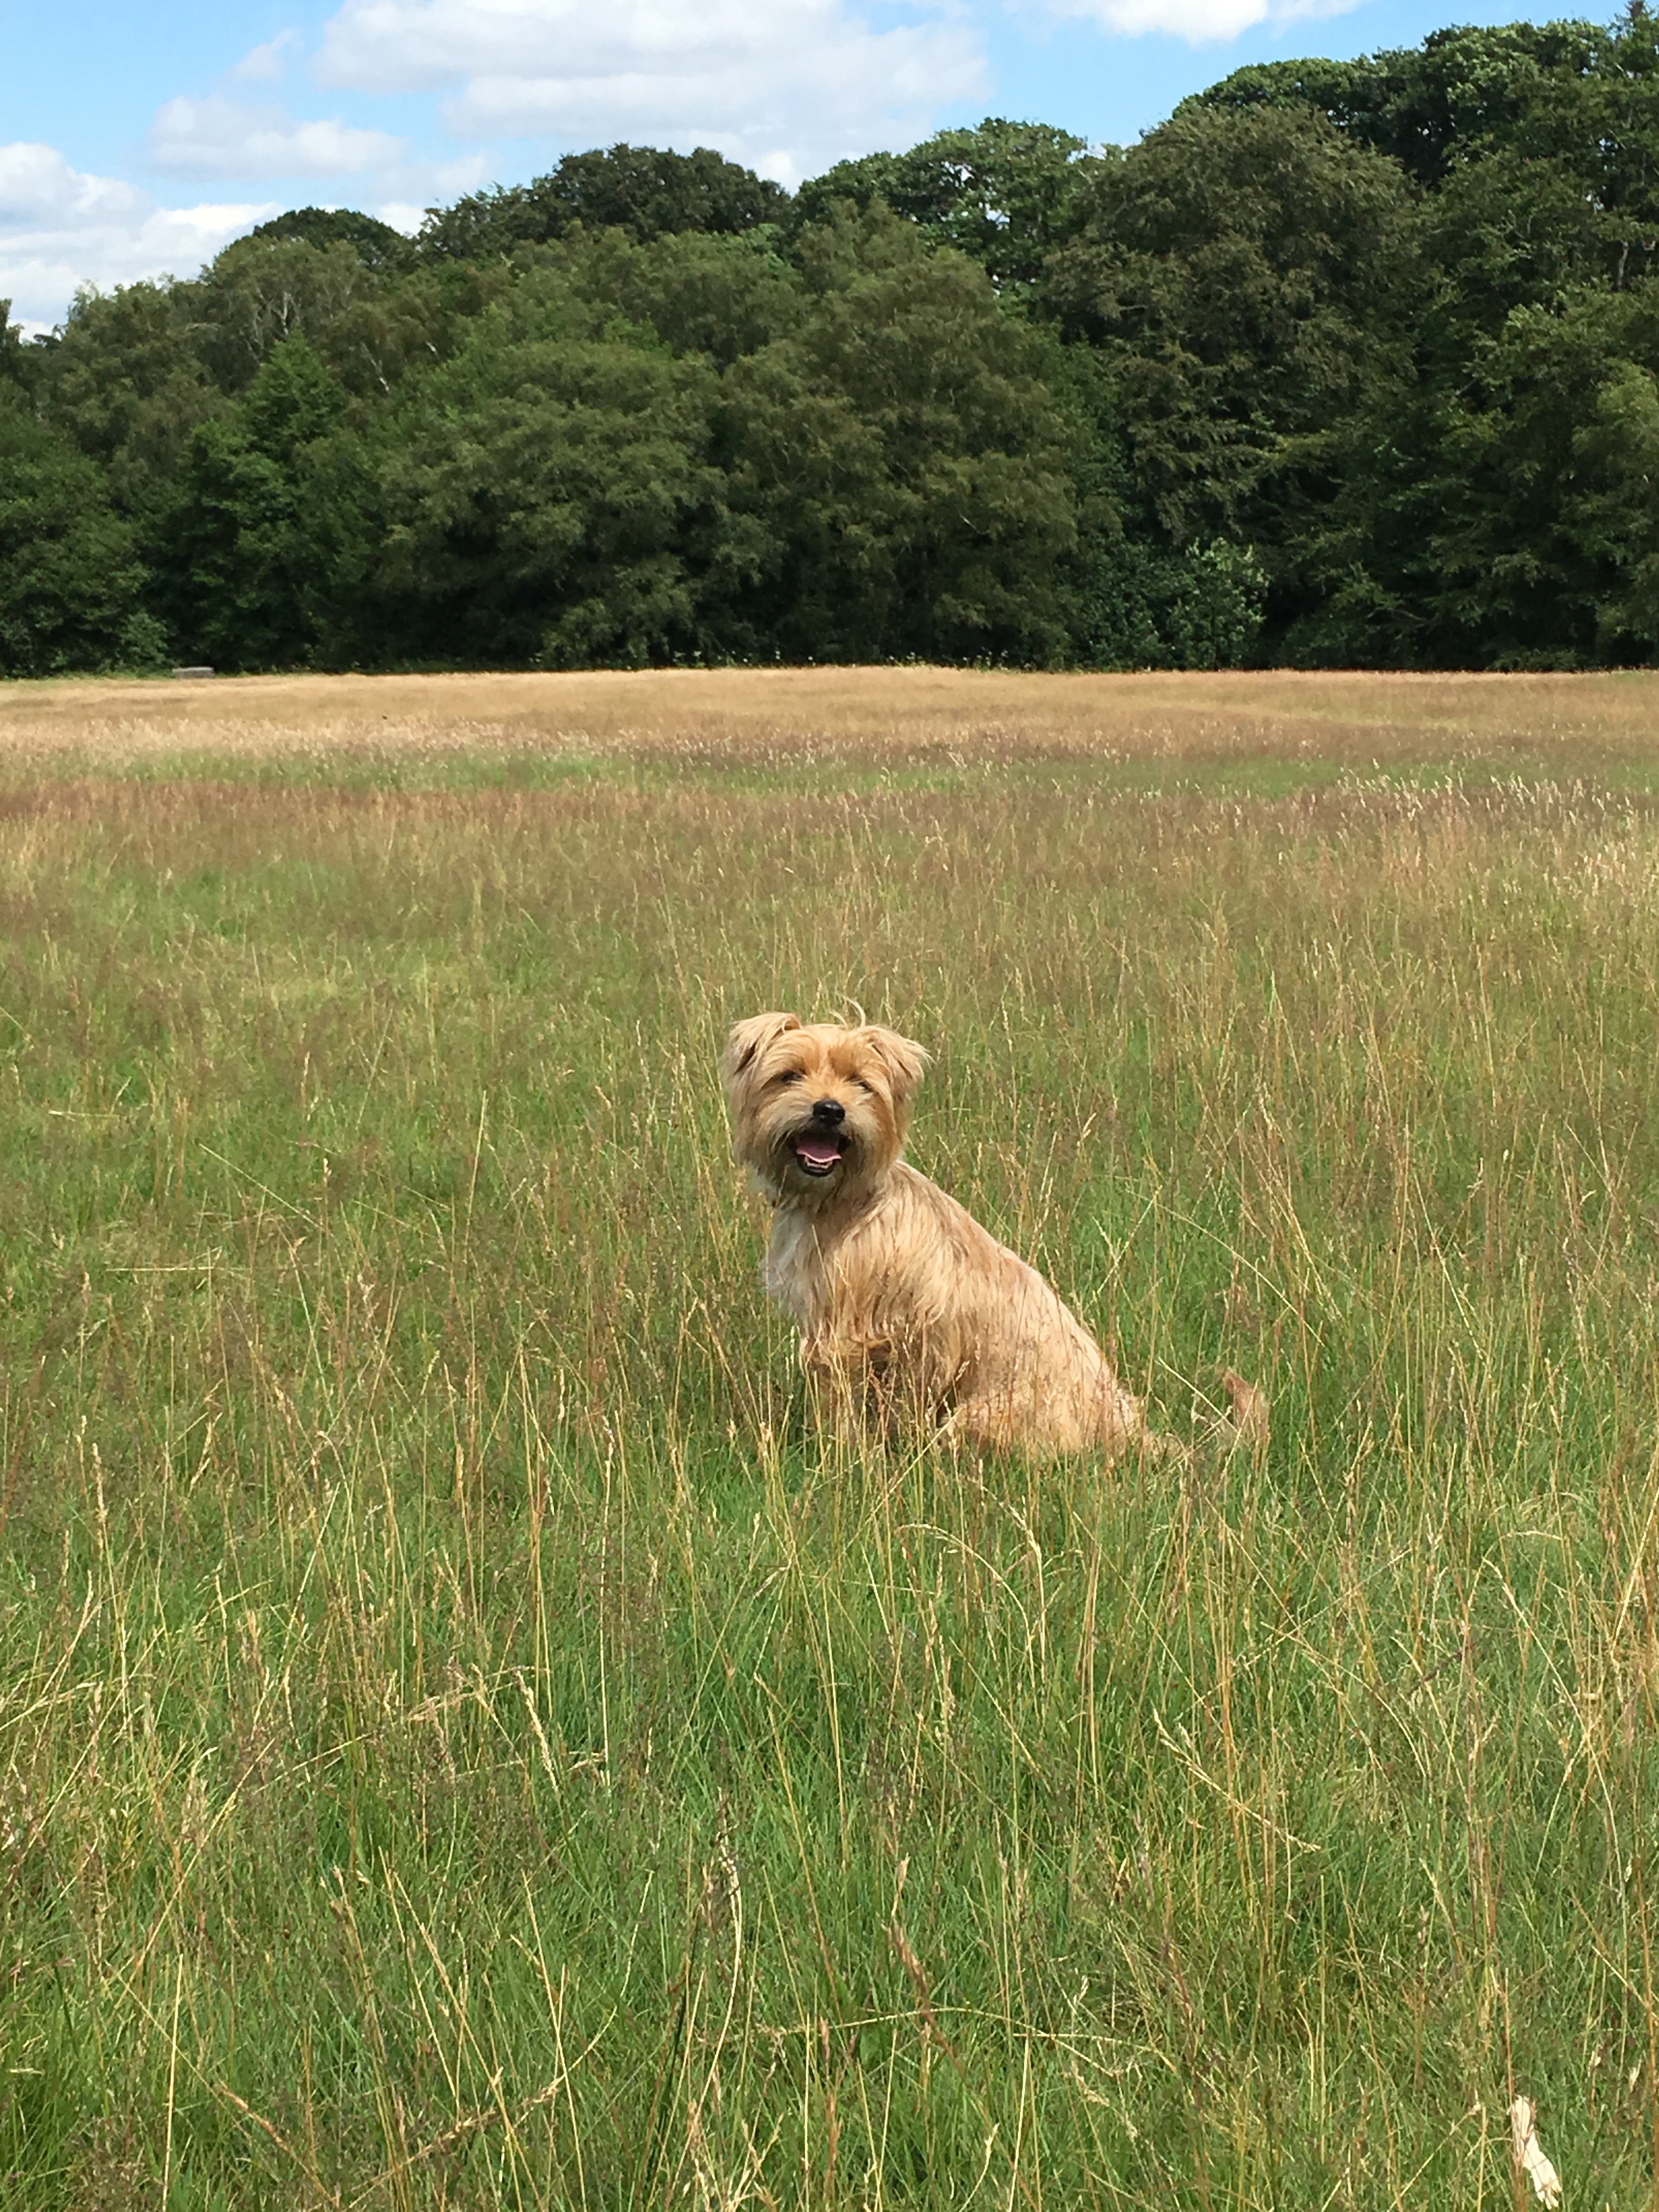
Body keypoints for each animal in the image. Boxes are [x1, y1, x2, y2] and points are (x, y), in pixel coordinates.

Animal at [720, 1012, 1266, 1461]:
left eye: (861, 1083)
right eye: (790, 1075)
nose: (830, 1110)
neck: (846, 1199)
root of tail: (1122, 1427)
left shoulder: (845, 1336)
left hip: (977, 1416)